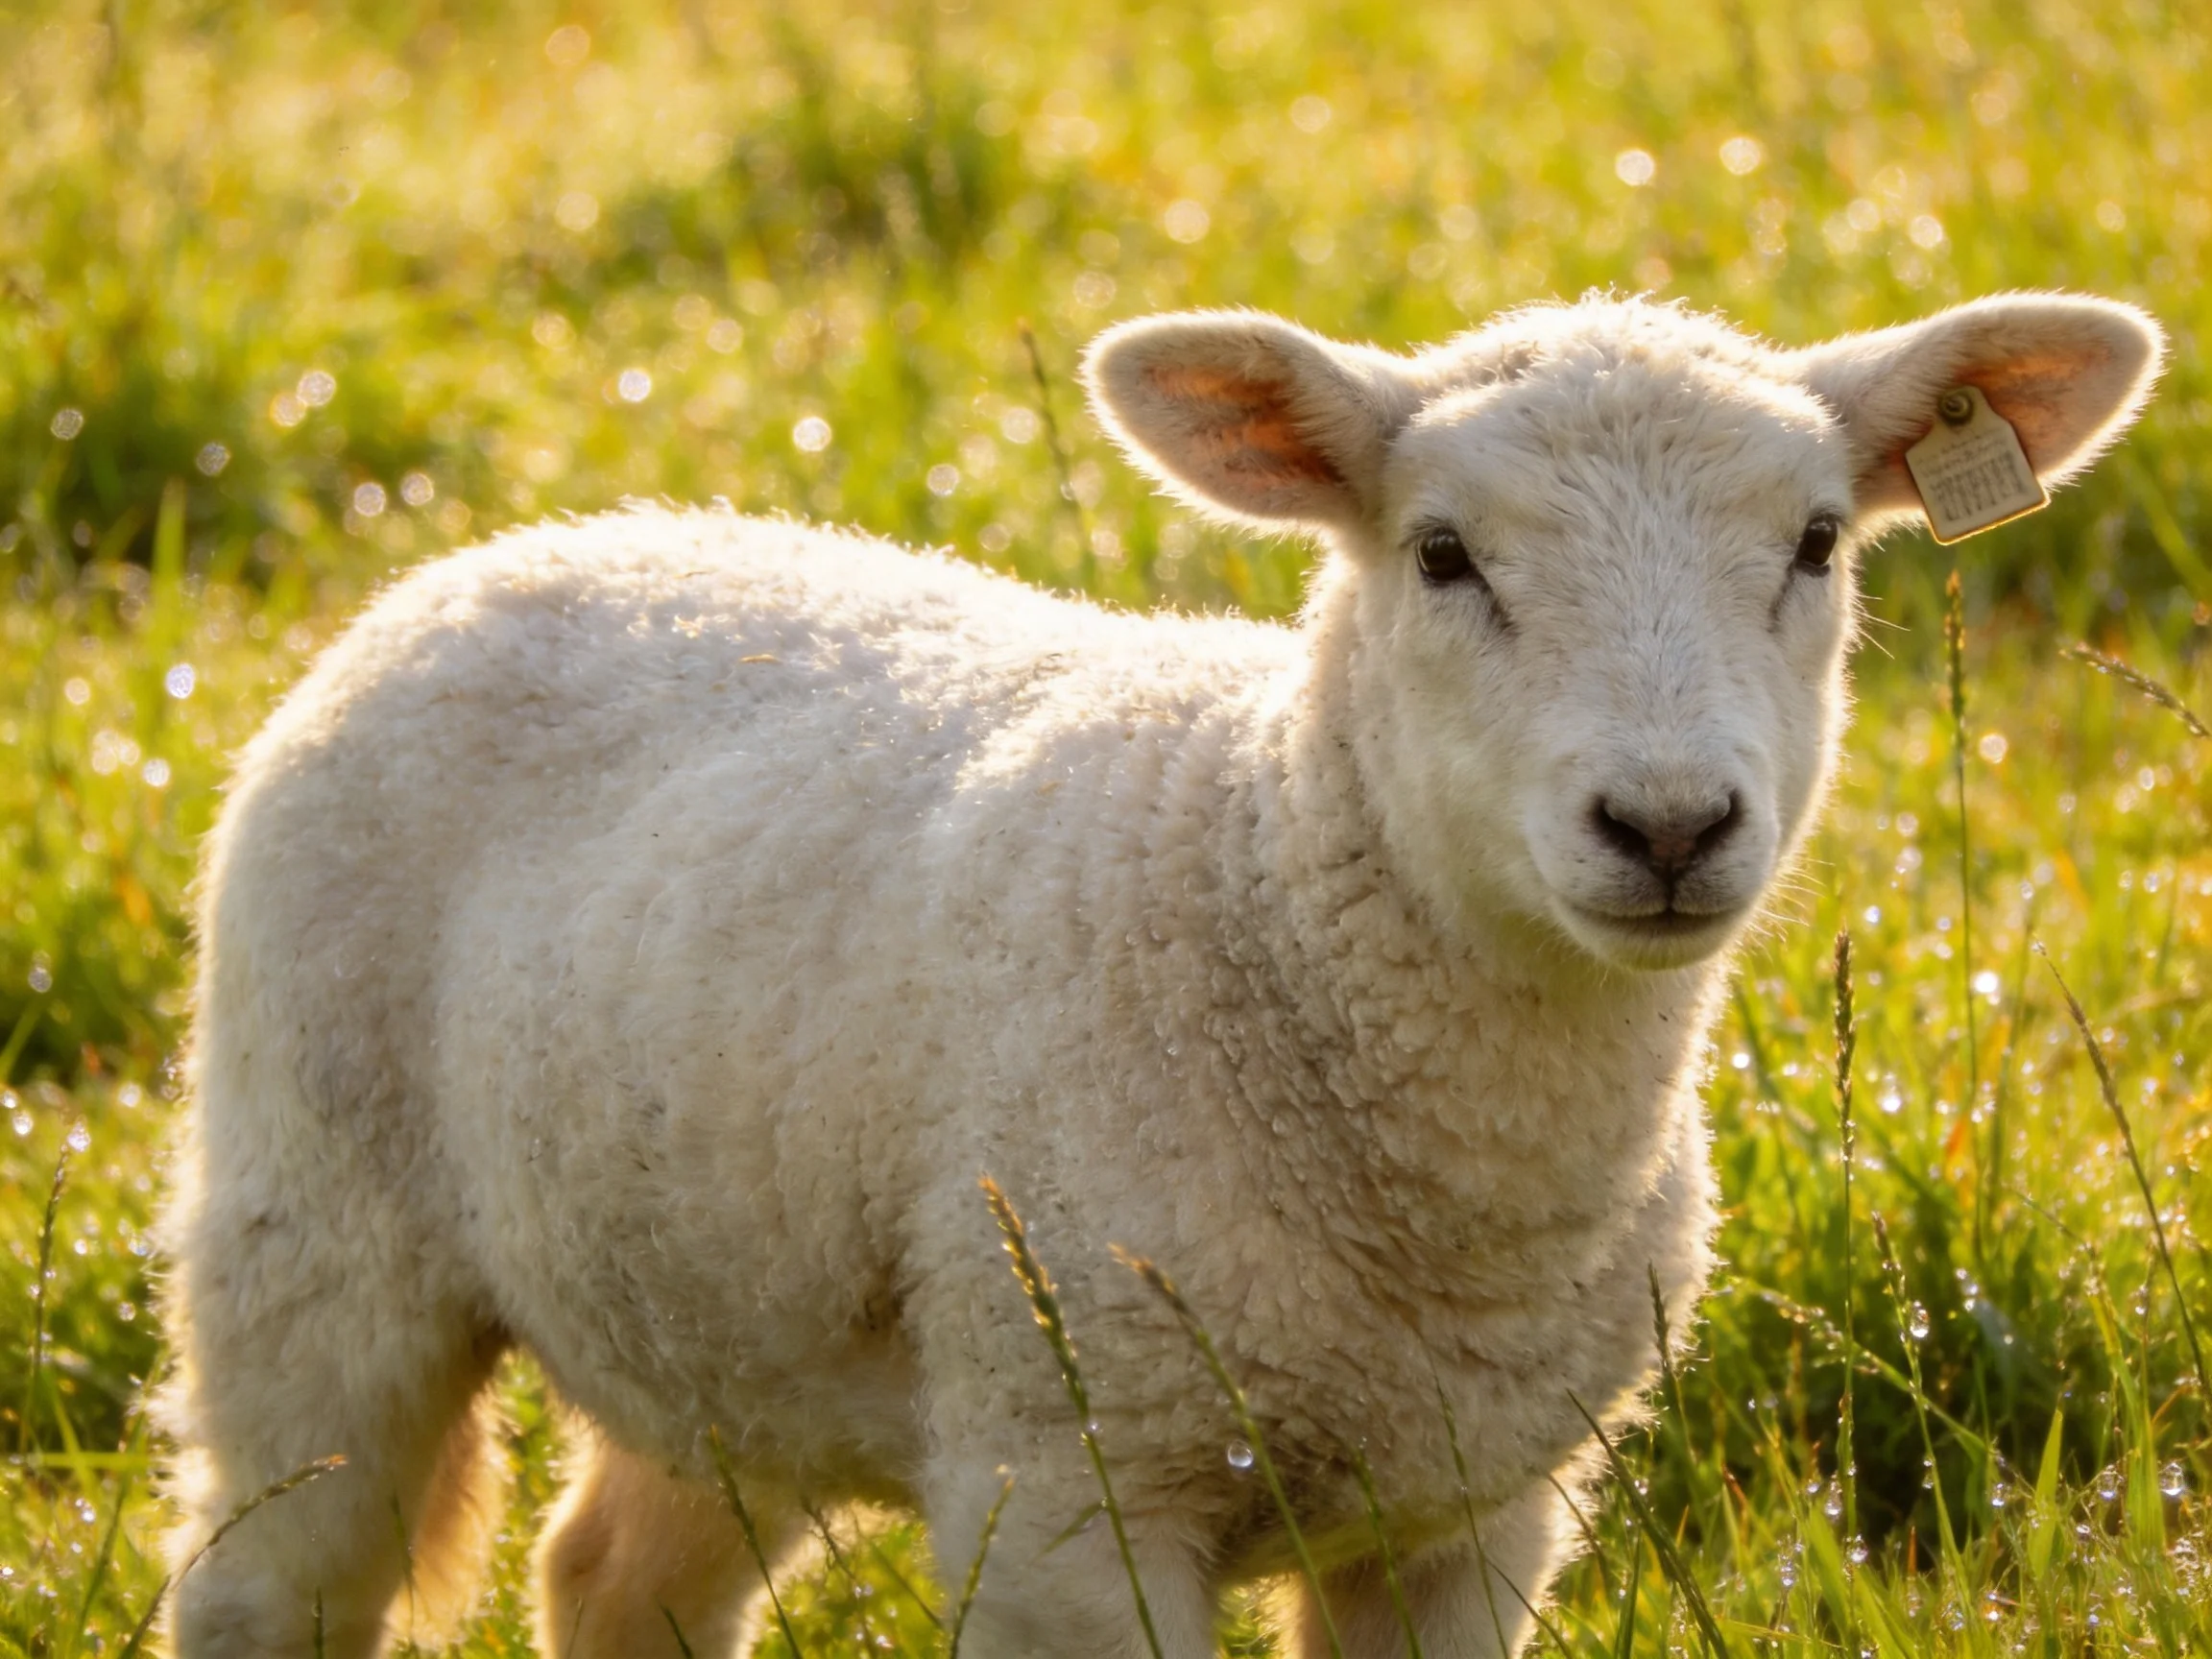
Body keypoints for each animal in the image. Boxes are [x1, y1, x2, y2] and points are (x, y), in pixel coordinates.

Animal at [160, 289, 2161, 1659]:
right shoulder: (1069, 1479)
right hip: (312, 1221)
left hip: (713, 1307)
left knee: (611, 1576)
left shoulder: (1470, 1513)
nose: (1664, 821)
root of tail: (542, 541)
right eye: (1440, 554)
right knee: (265, 1578)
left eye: (1815, 543)